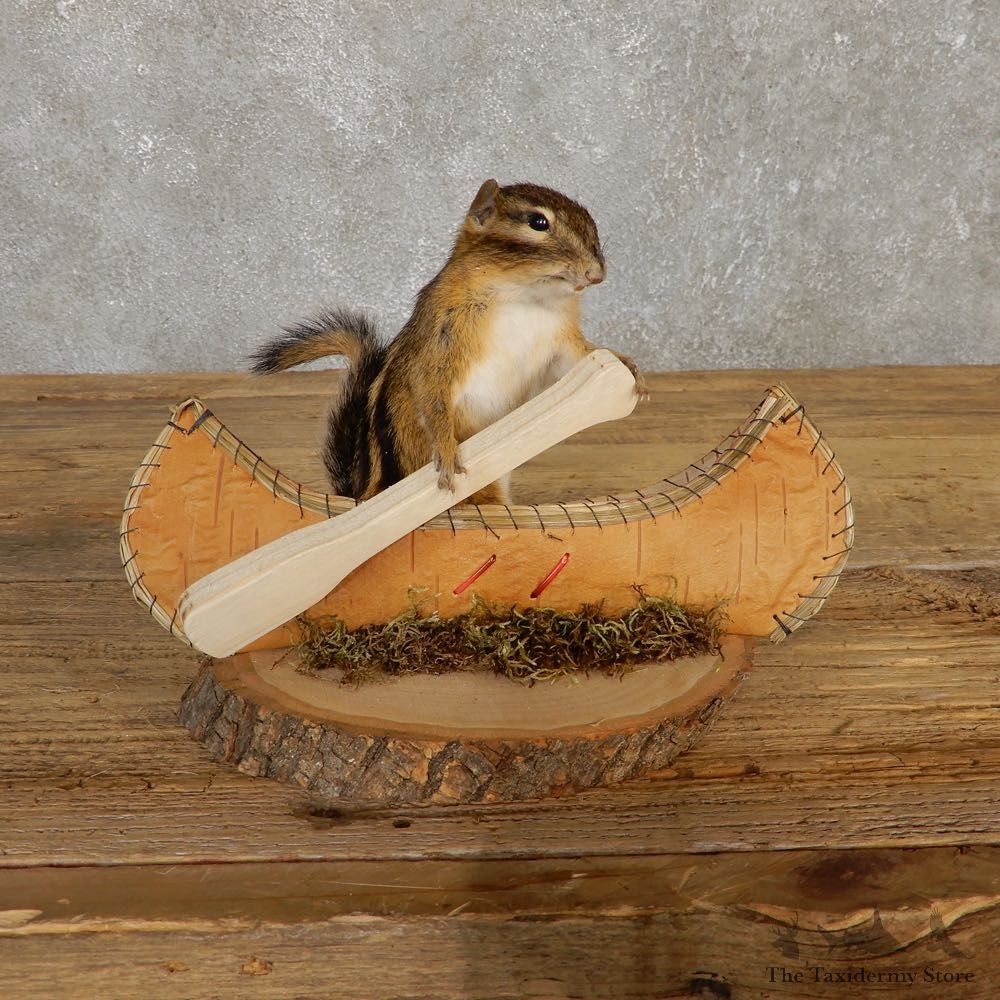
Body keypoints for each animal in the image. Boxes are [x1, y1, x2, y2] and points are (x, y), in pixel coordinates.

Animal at [250, 179, 645, 505]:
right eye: (538, 222)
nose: (597, 273)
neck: (524, 297)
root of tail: (368, 493)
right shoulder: (441, 337)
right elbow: (432, 390)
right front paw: (446, 446)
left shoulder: (560, 342)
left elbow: (579, 359)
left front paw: (626, 364)